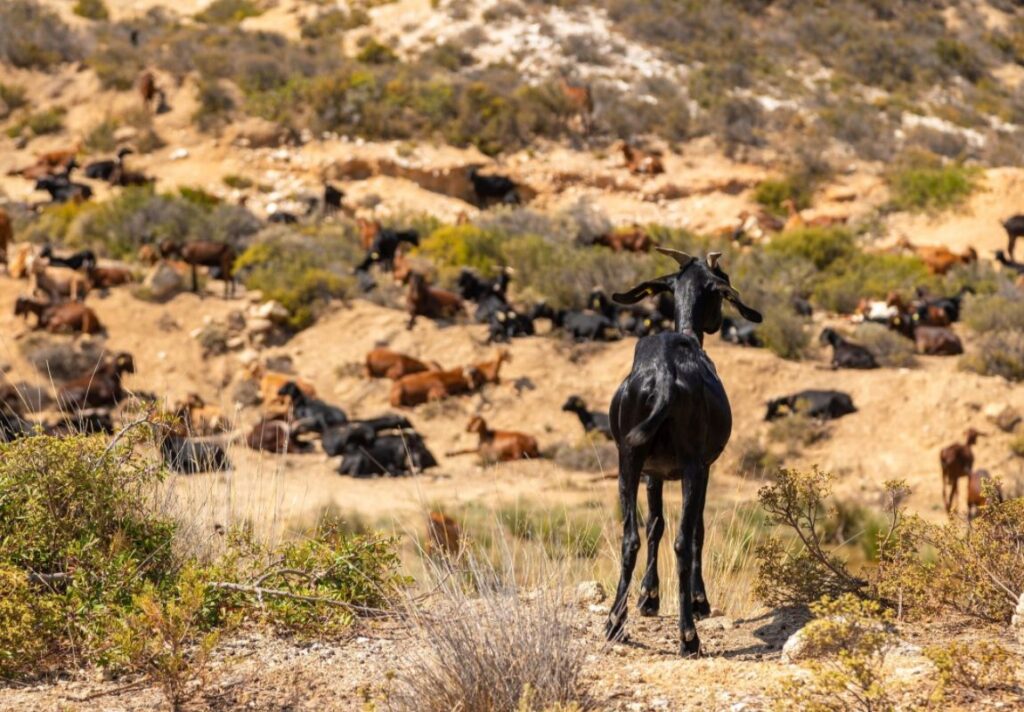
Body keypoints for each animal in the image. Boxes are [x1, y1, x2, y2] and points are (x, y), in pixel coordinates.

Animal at [606, 246, 761, 655]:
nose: (717, 323)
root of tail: (662, 376)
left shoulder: (652, 472)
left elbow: (654, 524)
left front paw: (648, 597)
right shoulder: (703, 467)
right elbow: (696, 530)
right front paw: (698, 600)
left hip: (628, 460)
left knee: (630, 537)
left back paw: (614, 622)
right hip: (691, 466)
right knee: (682, 540)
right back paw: (689, 635)